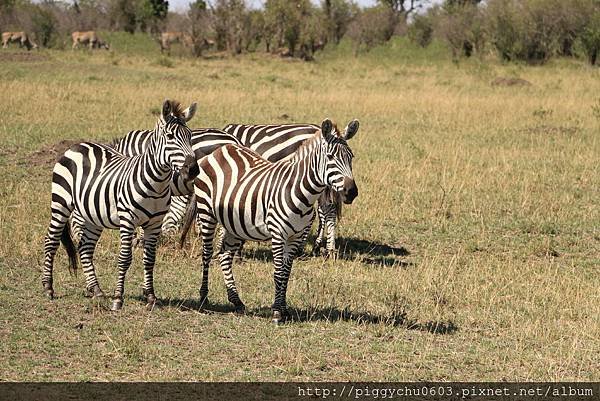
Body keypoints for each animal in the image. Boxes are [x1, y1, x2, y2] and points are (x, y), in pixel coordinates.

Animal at [42, 99, 197, 310]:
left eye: (190, 136)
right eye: (170, 136)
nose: (194, 169)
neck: (157, 184)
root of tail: (78, 145)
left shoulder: (155, 224)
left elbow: (150, 260)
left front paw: (151, 297)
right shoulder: (128, 220)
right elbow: (125, 258)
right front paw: (118, 299)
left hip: (92, 215)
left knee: (85, 248)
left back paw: (96, 290)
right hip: (60, 203)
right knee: (51, 241)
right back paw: (48, 288)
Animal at [180, 118, 358, 322]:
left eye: (351, 157)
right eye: (330, 157)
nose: (351, 192)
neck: (299, 191)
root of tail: (221, 150)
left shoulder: (295, 236)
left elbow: (286, 273)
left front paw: (284, 309)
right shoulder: (278, 233)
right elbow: (278, 272)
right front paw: (277, 311)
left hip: (233, 222)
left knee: (224, 256)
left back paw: (236, 300)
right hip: (207, 212)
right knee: (207, 253)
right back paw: (203, 296)